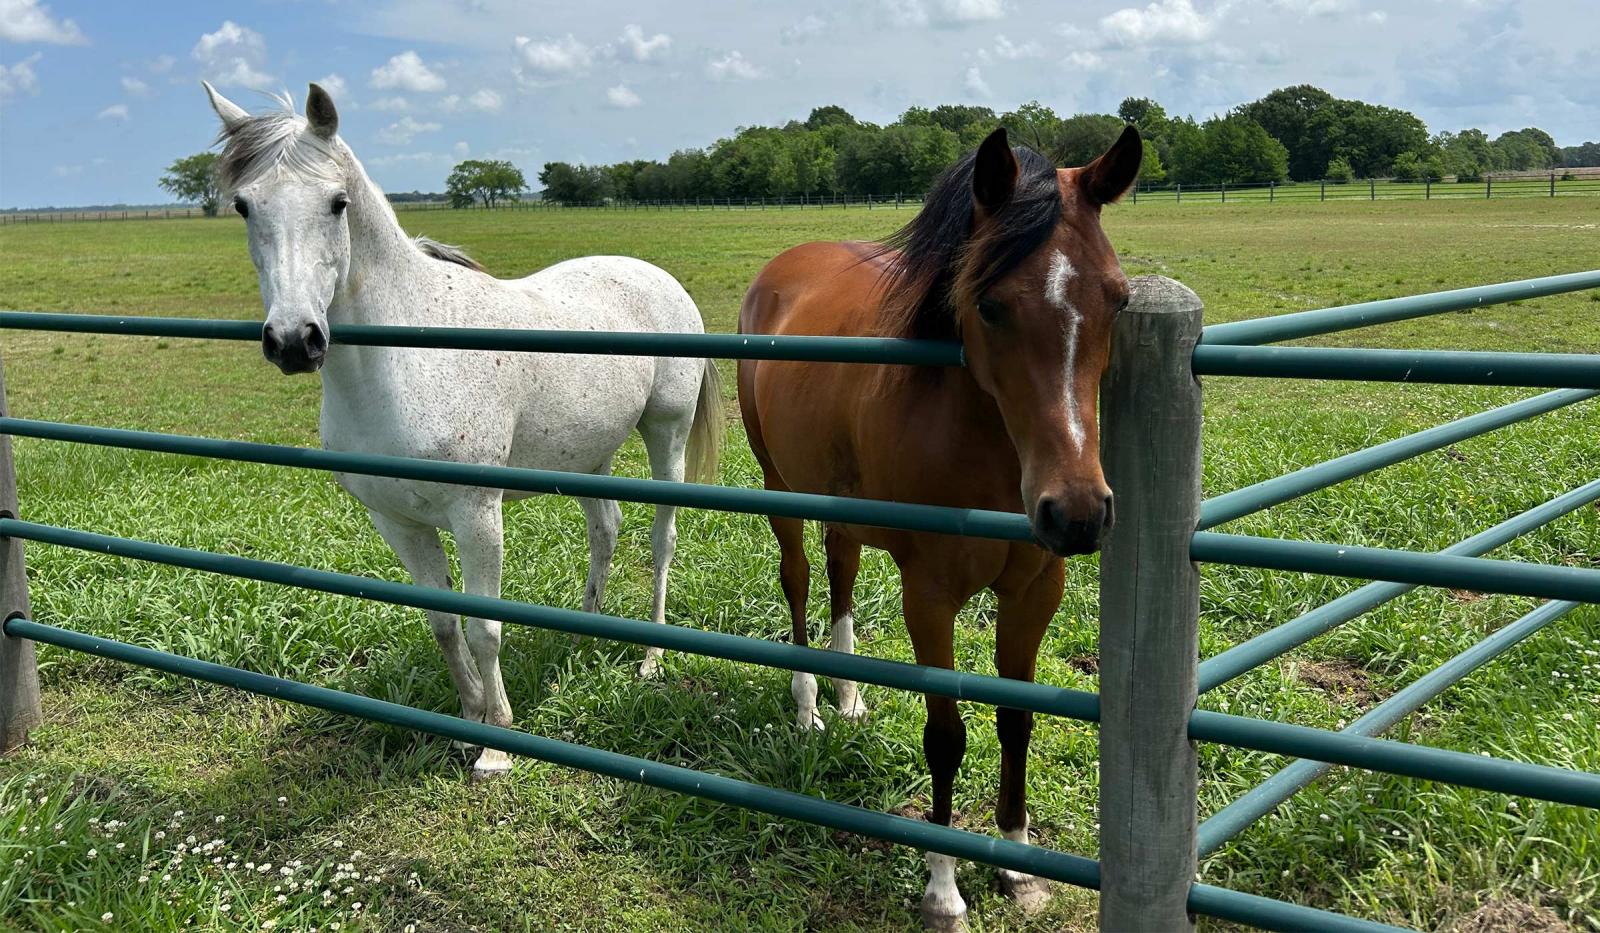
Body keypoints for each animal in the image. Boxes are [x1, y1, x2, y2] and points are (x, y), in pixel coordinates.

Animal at [202, 81, 723, 779]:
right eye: (243, 206)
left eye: (338, 203)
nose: (294, 341)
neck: (406, 358)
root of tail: (654, 274)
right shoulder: (399, 522)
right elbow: (445, 623)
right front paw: (468, 718)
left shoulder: (477, 515)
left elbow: (484, 627)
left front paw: (497, 744)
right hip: (588, 458)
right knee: (605, 531)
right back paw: (583, 632)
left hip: (666, 434)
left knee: (661, 540)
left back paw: (651, 659)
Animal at [736, 126, 1142, 929]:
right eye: (989, 305)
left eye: (1116, 298)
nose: (1077, 513)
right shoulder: (929, 598)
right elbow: (946, 736)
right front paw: (944, 887)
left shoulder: (1034, 590)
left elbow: (1016, 719)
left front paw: (1016, 865)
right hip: (781, 490)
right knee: (799, 580)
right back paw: (809, 705)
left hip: (845, 505)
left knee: (841, 572)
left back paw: (849, 695)